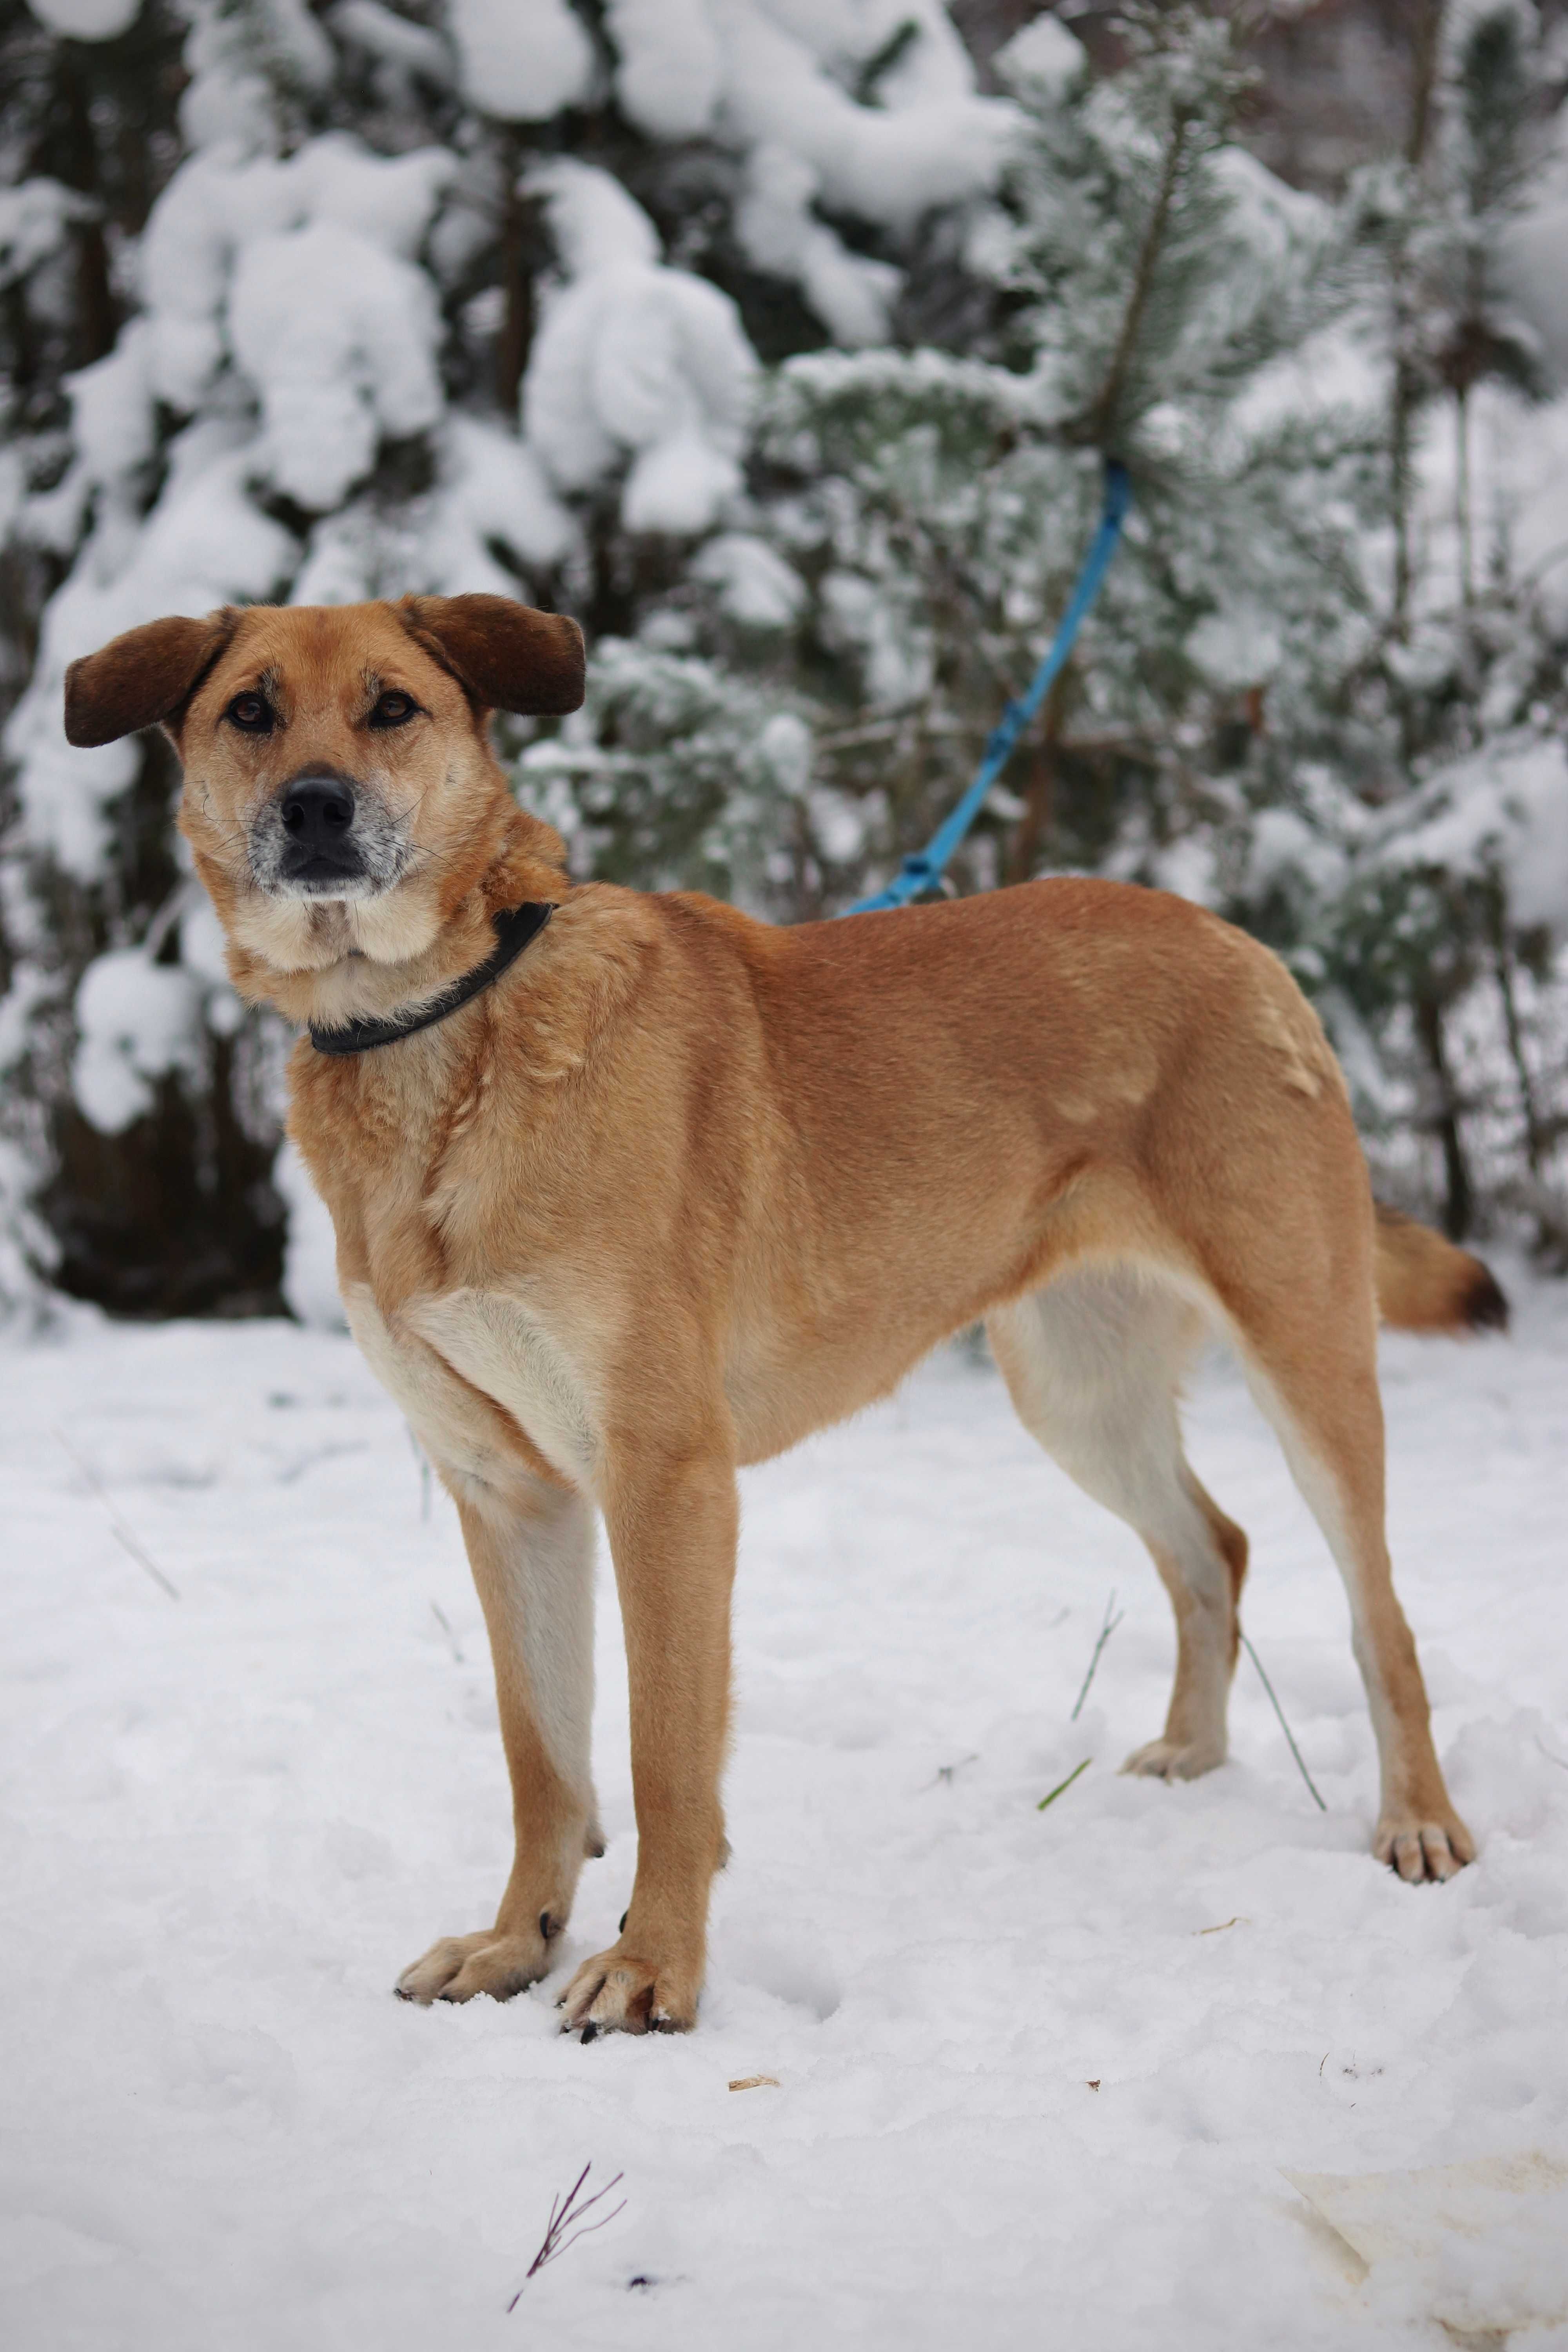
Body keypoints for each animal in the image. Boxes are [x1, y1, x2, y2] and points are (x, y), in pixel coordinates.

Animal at [67, 597, 1504, 2032]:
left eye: (392, 708)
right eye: (251, 711)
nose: (316, 809)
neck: (443, 1019)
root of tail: (1235, 938)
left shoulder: (666, 1479)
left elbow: (661, 1757)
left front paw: (652, 1972)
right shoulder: (506, 1492)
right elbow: (543, 1757)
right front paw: (515, 1944)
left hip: (1302, 1350)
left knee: (1381, 1614)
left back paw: (1418, 1822)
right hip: (1076, 1394)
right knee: (1214, 1549)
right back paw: (1194, 1761)